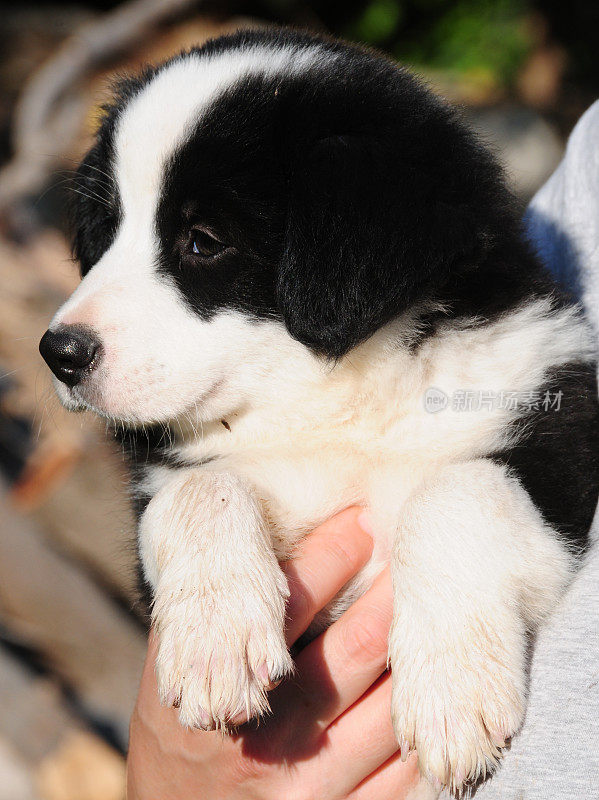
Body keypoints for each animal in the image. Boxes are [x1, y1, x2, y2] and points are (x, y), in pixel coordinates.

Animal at [39, 26, 599, 792]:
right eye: (107, 229)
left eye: (203, 240)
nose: (58, 353)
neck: (335, 403)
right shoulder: (166, 482)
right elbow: (200, 490)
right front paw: (216, 645)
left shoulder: (560, 434)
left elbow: (457, 490)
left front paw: (451, 692)